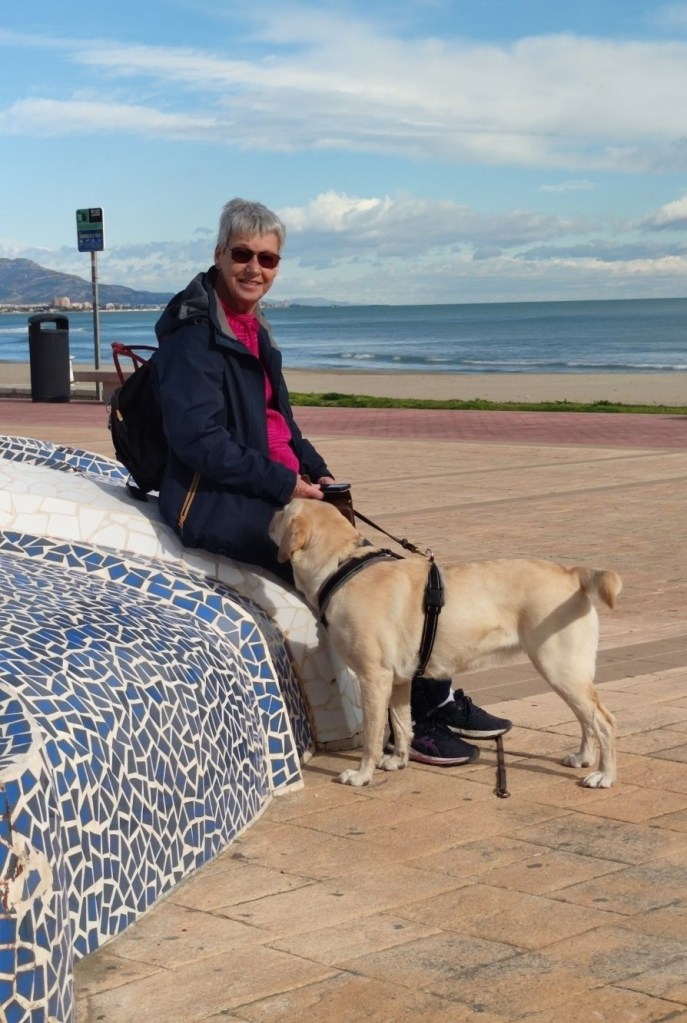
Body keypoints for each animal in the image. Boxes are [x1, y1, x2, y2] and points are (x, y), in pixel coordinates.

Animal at [270, 499, 622, 789]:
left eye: (283, 510)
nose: (269, 513)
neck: (341, 566)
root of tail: (573, 573)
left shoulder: (374, 678)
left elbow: (372, 735)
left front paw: (362, 774)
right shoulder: (399, 680)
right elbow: (402, 724)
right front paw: (398, 760)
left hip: (560, 669)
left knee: (603, 721)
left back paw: (604, 775)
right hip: (567, 674)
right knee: (587, 719)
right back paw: (583, 758)